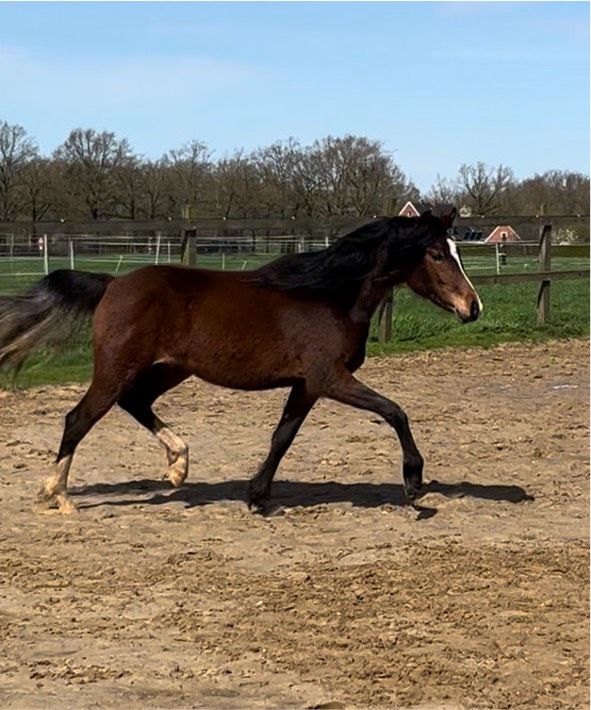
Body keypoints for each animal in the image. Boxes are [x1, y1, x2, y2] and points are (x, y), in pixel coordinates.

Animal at [0, 209, 480, 516]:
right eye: (437, 254)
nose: (472, 307)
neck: (330, 295)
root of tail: (112, 283)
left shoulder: (306, 385)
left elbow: (283, 436)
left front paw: (257, 496)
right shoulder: (330, 378)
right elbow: (395, 411)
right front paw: (414, 482)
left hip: (169, 369)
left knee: (135, 402)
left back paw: (178, 466)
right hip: (117, 370)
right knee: (78, 419)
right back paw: (57, 495)